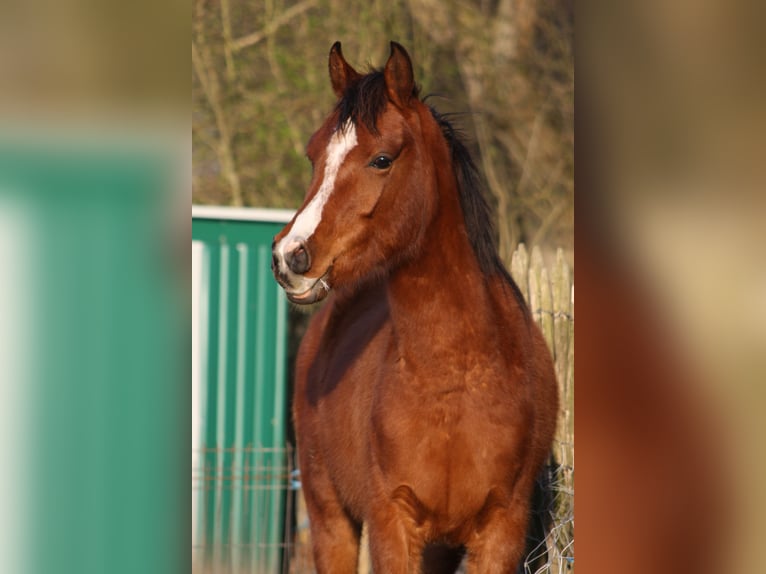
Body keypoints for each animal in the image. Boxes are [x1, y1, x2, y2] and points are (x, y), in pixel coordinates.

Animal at [271, 41, 559, 573]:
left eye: (382, 159)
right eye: (313, 154)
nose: (290, 256)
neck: (455, 377)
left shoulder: (501, 532)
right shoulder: (392, 525)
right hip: (329, 518)